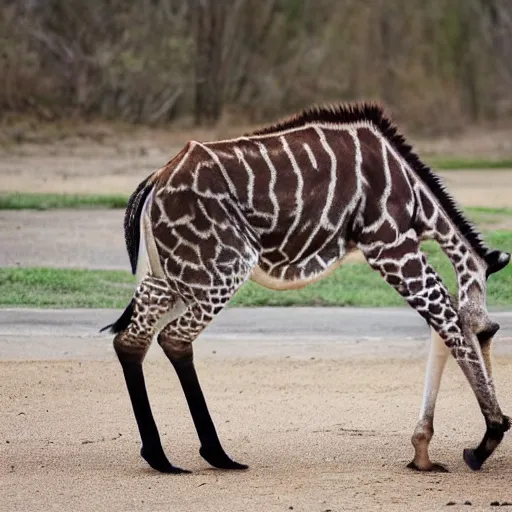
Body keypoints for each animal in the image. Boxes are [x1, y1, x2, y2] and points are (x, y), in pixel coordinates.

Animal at [102, 102, 510, 474]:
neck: (415, 198)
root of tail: (155, 181)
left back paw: (159, 457)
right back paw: (216, 454)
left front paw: (424, 454)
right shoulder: (390, 244)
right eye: (488, 332)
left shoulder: (397, 247)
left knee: (131, 340)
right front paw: (485, 441)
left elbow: (443, 324)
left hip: (169, 277)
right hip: (221, 269)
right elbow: (450, 323)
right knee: (174, 338)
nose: (496, 432)